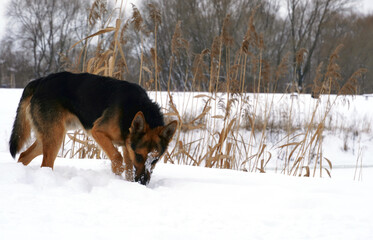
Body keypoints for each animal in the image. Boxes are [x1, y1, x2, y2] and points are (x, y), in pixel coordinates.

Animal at [8, 71, 177, 184]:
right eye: (140, 156)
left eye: (155, 160)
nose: (142, 182)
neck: (135, 108)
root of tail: (40, 81)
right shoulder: (98, 132)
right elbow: (117, 157)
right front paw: (117, 173)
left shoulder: (127, 145)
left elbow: (129, 168)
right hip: (55, 137)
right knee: (45, 164)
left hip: (50, 137)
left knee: (24, 156)